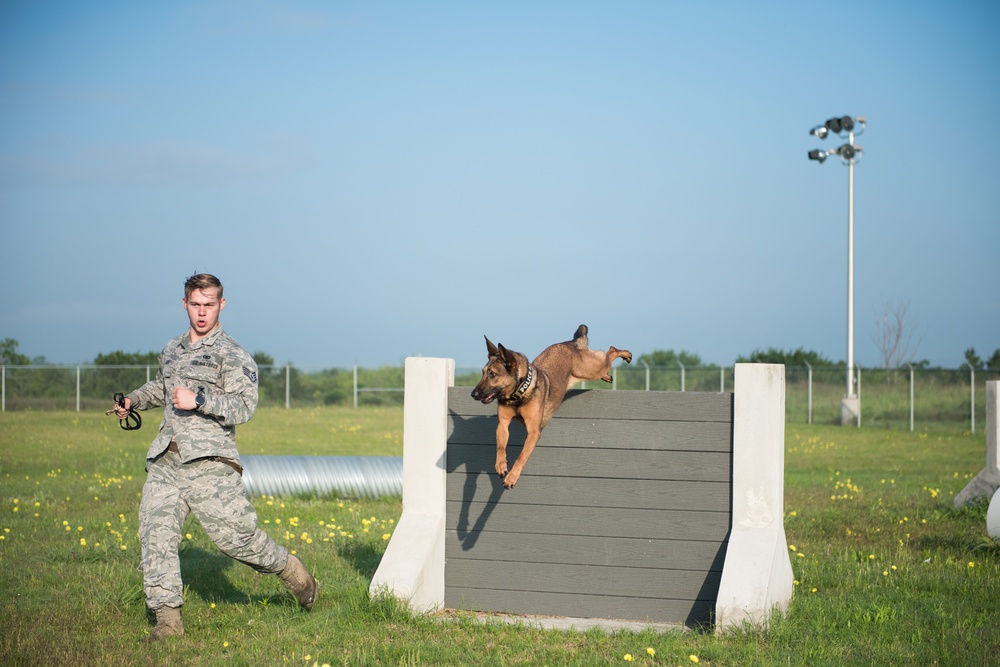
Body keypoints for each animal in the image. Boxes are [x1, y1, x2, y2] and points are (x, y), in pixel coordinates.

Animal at [470, 324, 628, 488]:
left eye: (492, 374)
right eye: (483, 373)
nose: (473, 394)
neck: (519, 393)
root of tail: (568, 343)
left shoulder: (533, 432)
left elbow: (521, 456)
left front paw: (512, 477)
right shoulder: (503, 424)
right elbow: (501, 448)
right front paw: (501, 466)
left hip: (590, 370)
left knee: (611, 351)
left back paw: (626, 355)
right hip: (591, 370)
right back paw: (608, 375)